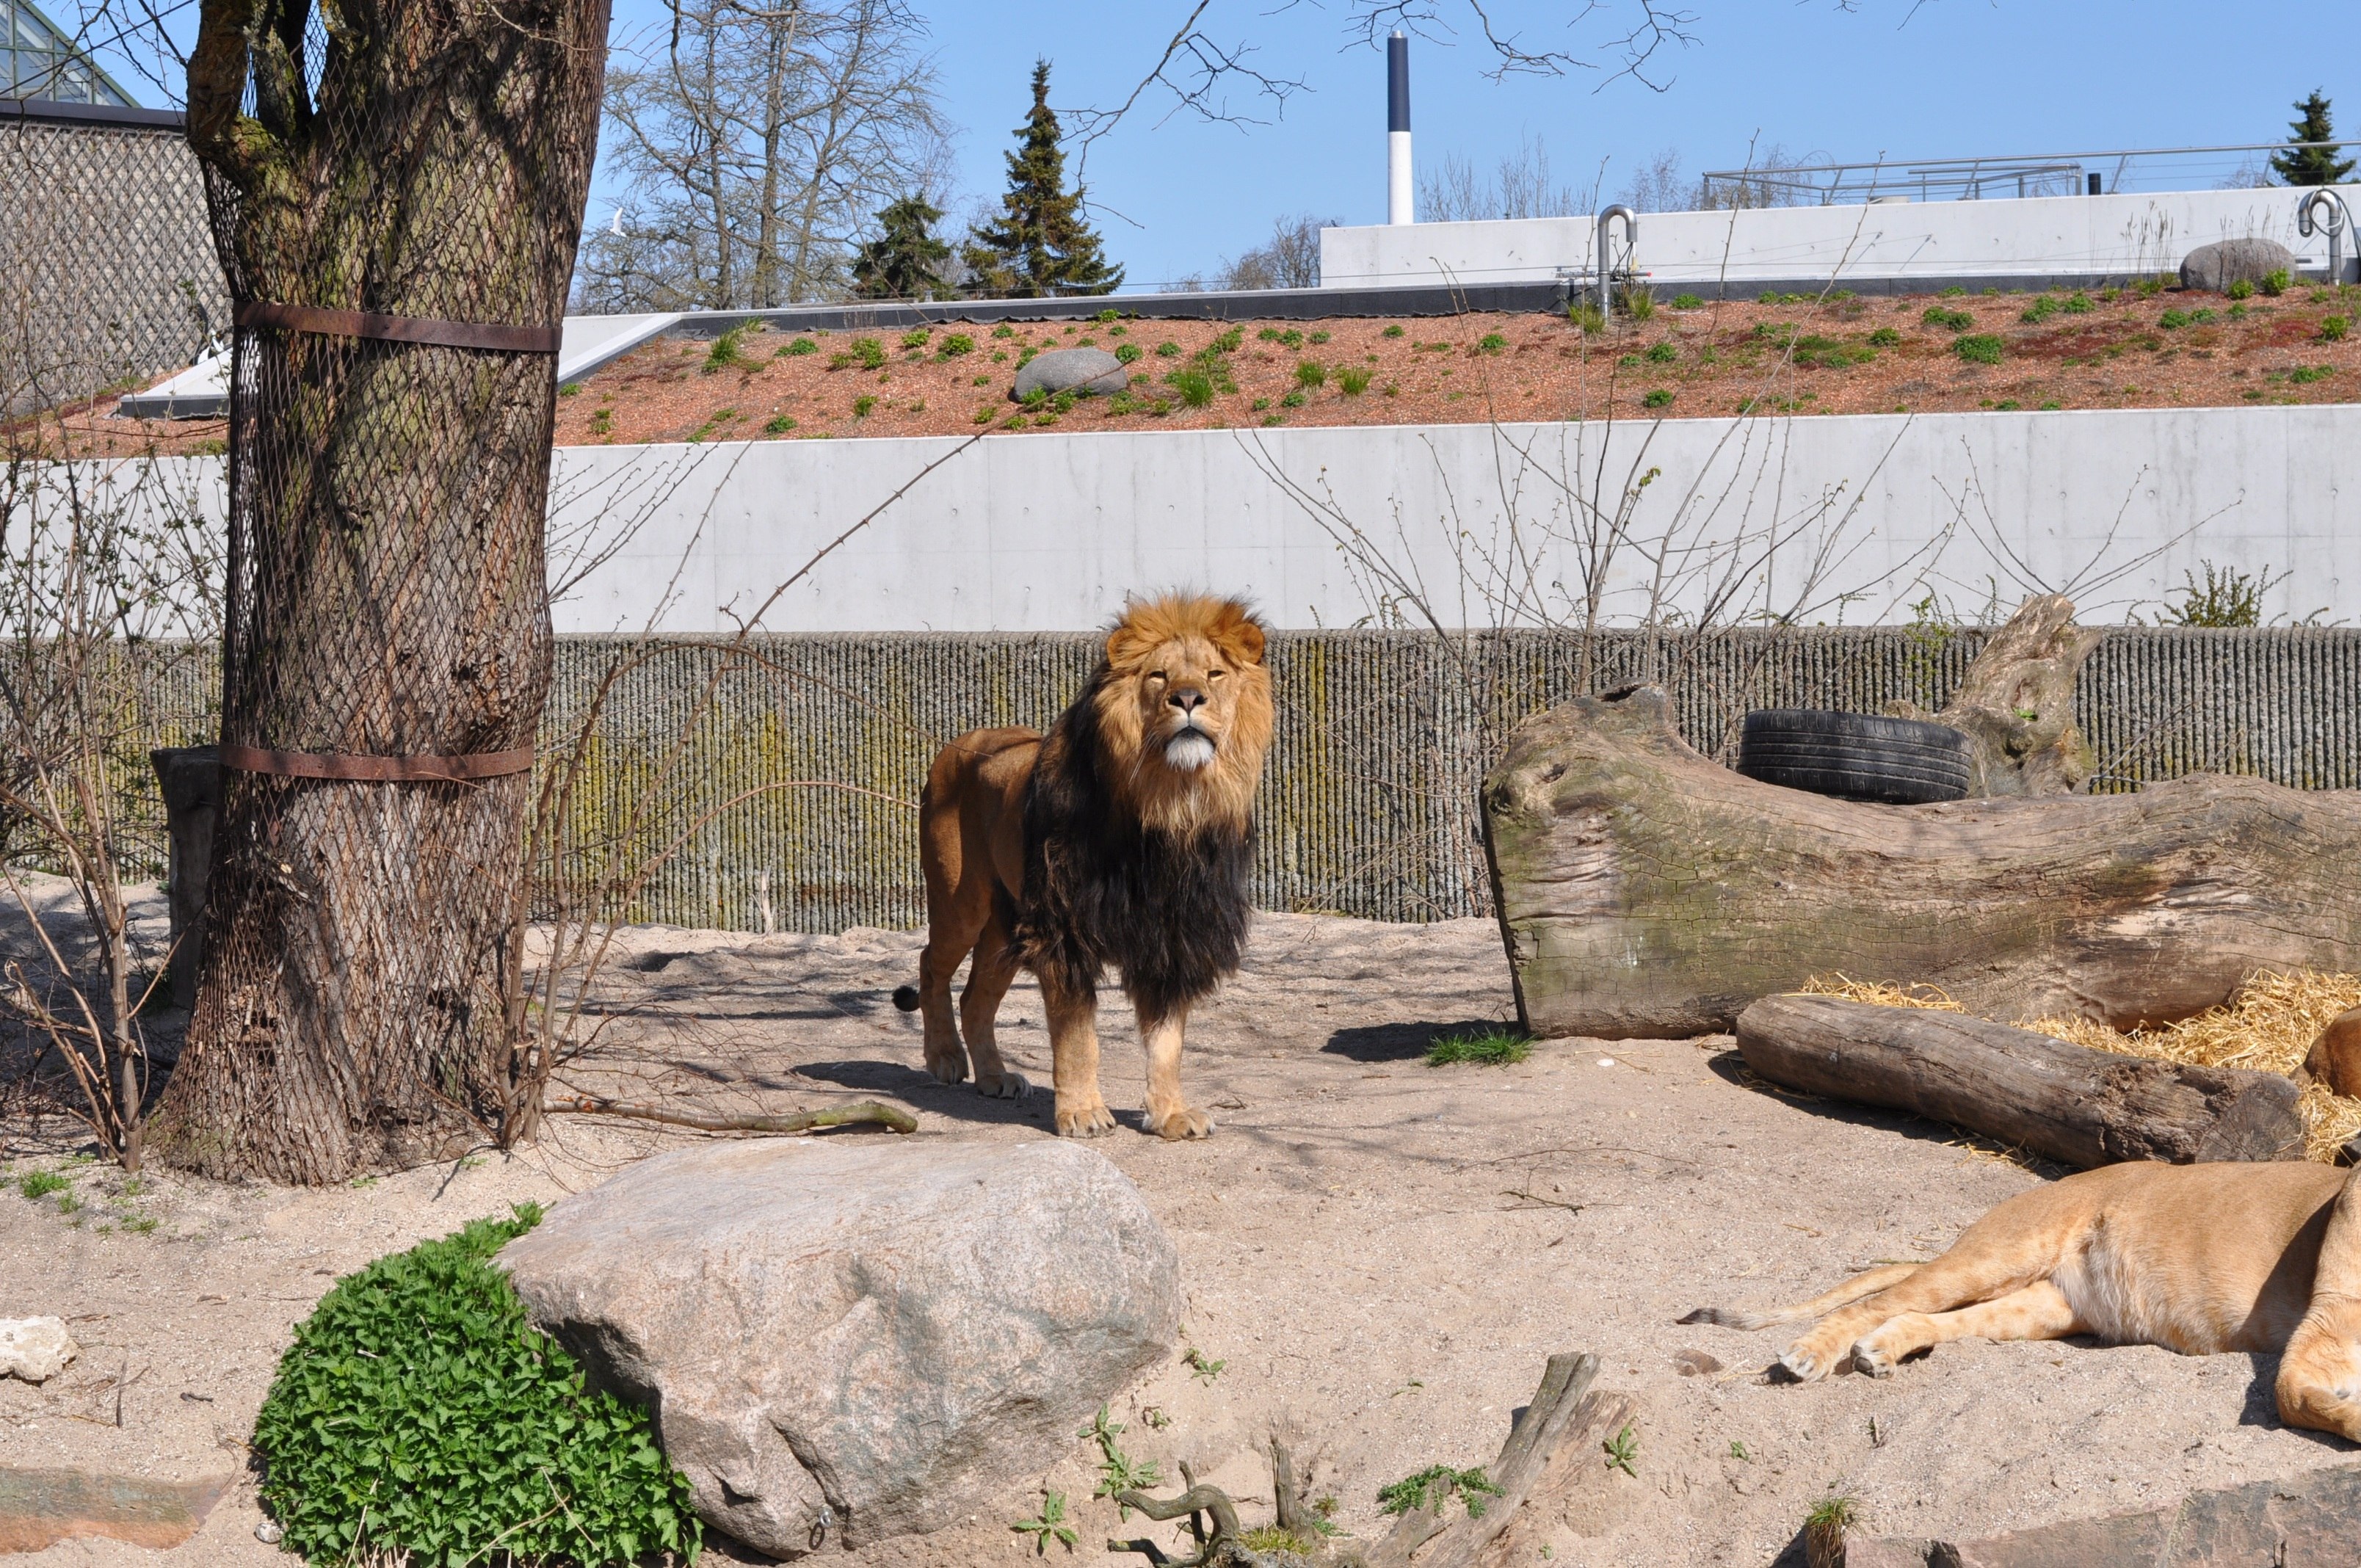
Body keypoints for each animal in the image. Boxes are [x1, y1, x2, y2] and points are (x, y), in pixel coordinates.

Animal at [888, 597, 1274, 1138]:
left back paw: (995, 1077)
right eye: (1158, 676)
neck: (1169, 804)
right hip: (962, 904)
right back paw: (944, 1057)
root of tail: (961, 741)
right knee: (930, 966)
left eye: (1215, 674)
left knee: (975, 998)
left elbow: (1168, 1042)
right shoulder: (1064, 933)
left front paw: (1170, 1114)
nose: (1188, 698)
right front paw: (1082, 1112)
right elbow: (1077, 1040)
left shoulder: (1173, 939)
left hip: (1007, 926)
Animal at [1680, 1157, 2361, 1435]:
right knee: (1876, 1301)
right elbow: (2293, 1396)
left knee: (1927, 1315)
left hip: (2044, 1308)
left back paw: (1878, 1353)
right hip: (2001, 1251)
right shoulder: (2324, 1322)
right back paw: (1809, 1357)